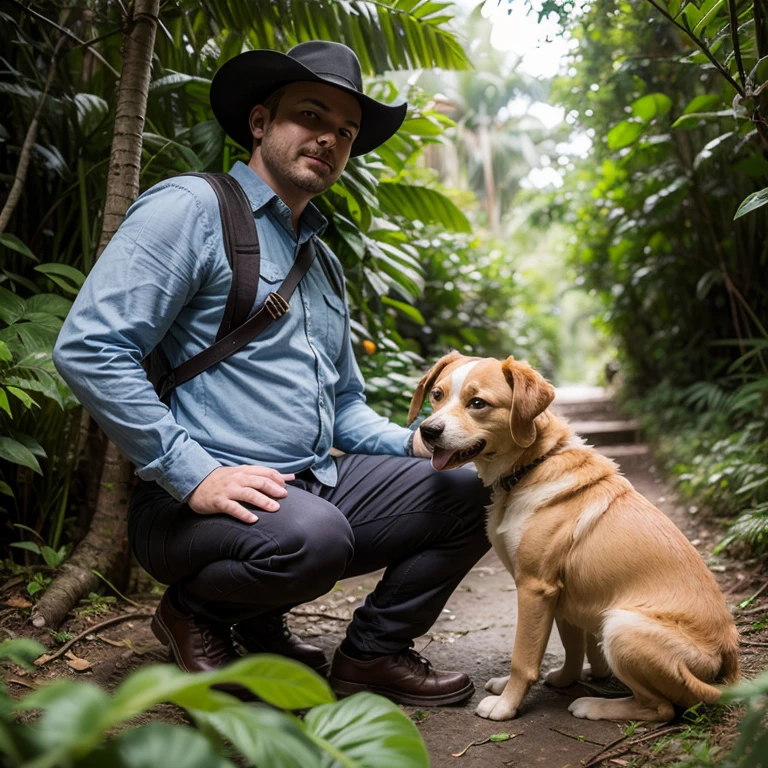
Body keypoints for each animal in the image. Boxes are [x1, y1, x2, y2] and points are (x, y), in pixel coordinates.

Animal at [408, 352, 736, 724]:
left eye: (478, 403)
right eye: (437, 395)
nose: (428, 431)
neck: (532, 465)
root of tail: (728, 653)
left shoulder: (535, 587)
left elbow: (524, 657)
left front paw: (507, 705)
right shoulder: (562, 596)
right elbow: (570, 647)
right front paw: (564, 679)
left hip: (621, 626)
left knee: (661, 708)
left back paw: (594, 706)